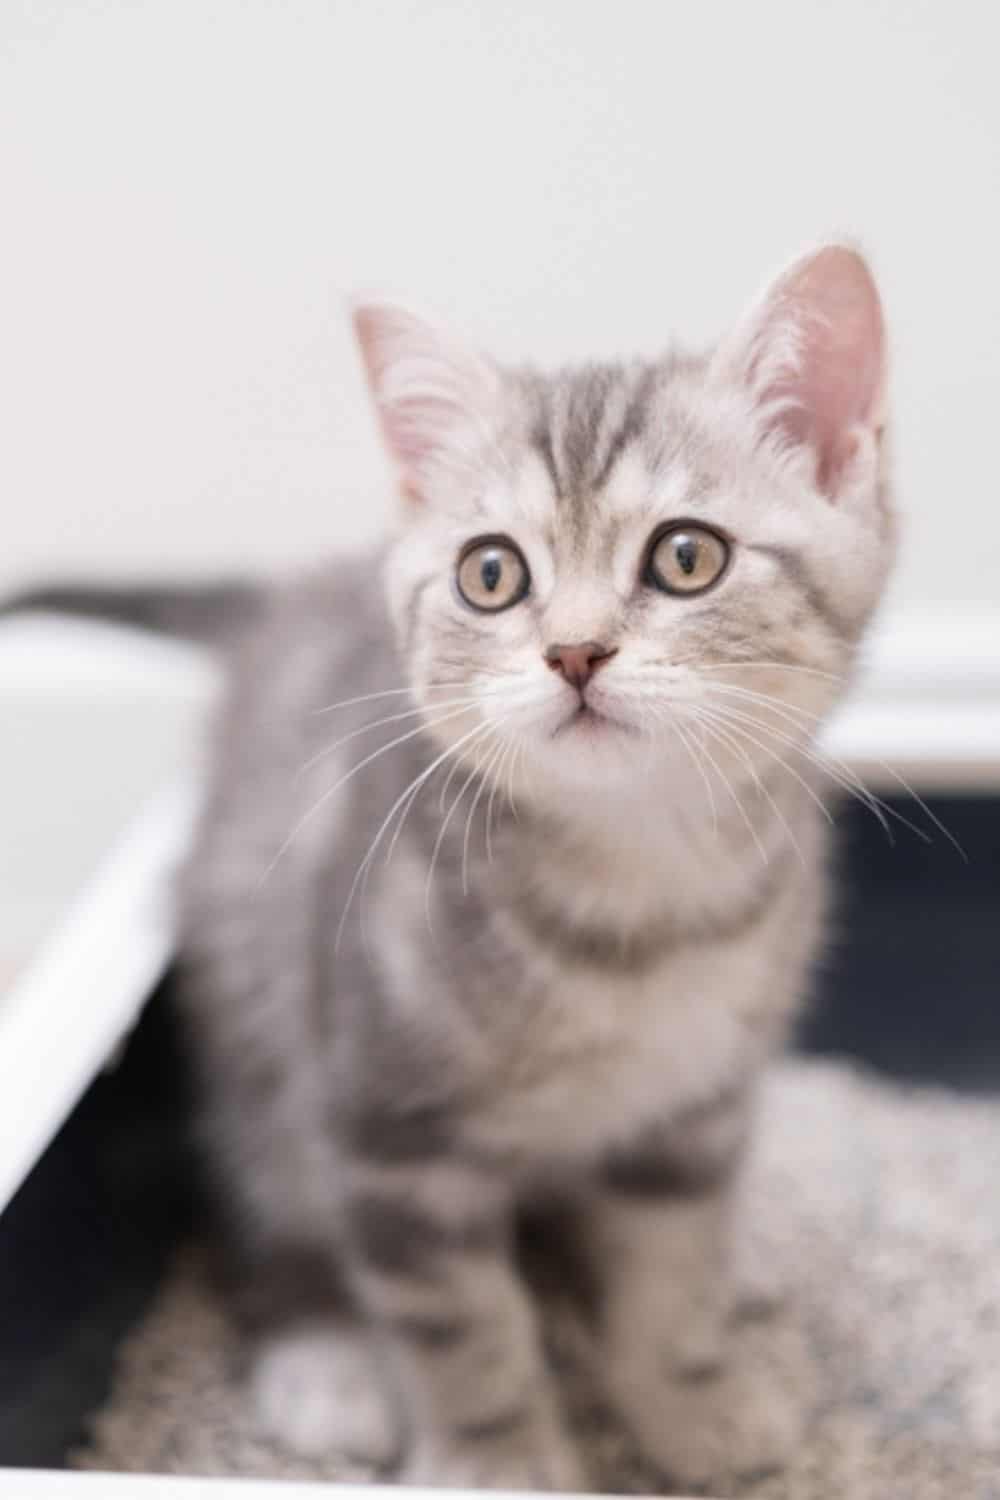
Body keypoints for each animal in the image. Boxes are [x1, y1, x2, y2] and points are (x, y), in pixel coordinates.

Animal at [176, 246, 893, 1488]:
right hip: (258, 1036)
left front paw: (689, 1397)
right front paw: (495, 1461)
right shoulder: (387, 1128)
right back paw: (329, 1366)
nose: (574, 651)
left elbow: (666, 1270)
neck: (638, 909)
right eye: (491, 574)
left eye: (687, 556)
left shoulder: (692, 1114)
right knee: (274, 1221)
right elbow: (462, 1325)